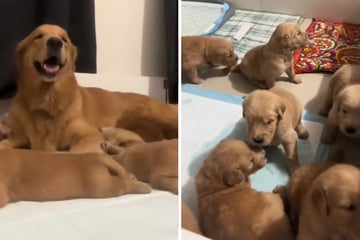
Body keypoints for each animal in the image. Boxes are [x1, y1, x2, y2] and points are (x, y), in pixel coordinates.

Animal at [0, 23, 177, 152]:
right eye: (38, 36)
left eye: (64, 39)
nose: (55, 42)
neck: (48, 97)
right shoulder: (17, 137)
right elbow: (5, 144)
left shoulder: (90, 135)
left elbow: (76, 151)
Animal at [0, 148, 152, 208]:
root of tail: (96, 158)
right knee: (123, 176)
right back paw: (132, 177)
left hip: (101, 186)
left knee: (123, 185)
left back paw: (142, 187)